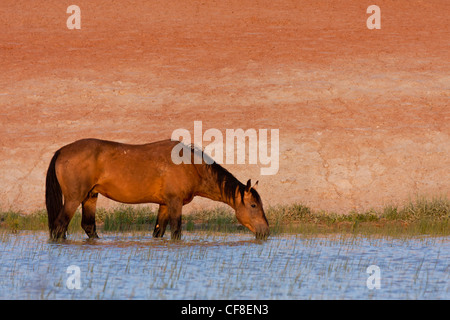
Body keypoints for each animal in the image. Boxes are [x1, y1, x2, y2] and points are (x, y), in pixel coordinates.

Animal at [44, 138, 270, 240]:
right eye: (253, 205)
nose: (266, 231)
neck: (191, 164)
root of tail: (62, 150)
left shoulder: (164, 204)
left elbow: (158, 232)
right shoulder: (175, 203)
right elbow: (176, 231)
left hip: (90, 196)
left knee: (88, 226)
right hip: (73, 199)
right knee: (59, 227)